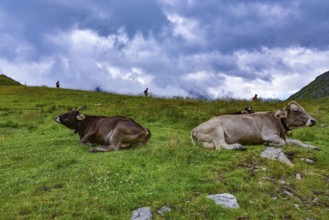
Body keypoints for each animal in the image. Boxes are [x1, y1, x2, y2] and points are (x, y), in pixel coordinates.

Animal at [191, 101, 320, 151]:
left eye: (303, 109)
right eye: (296, 110)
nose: (313, 120)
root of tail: (195, 128)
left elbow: (297, 142)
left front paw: (312, 146)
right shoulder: (268, 135)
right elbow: (282, 143)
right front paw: (268, 144)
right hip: (217, 131)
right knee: (220, 146)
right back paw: (239, 146)